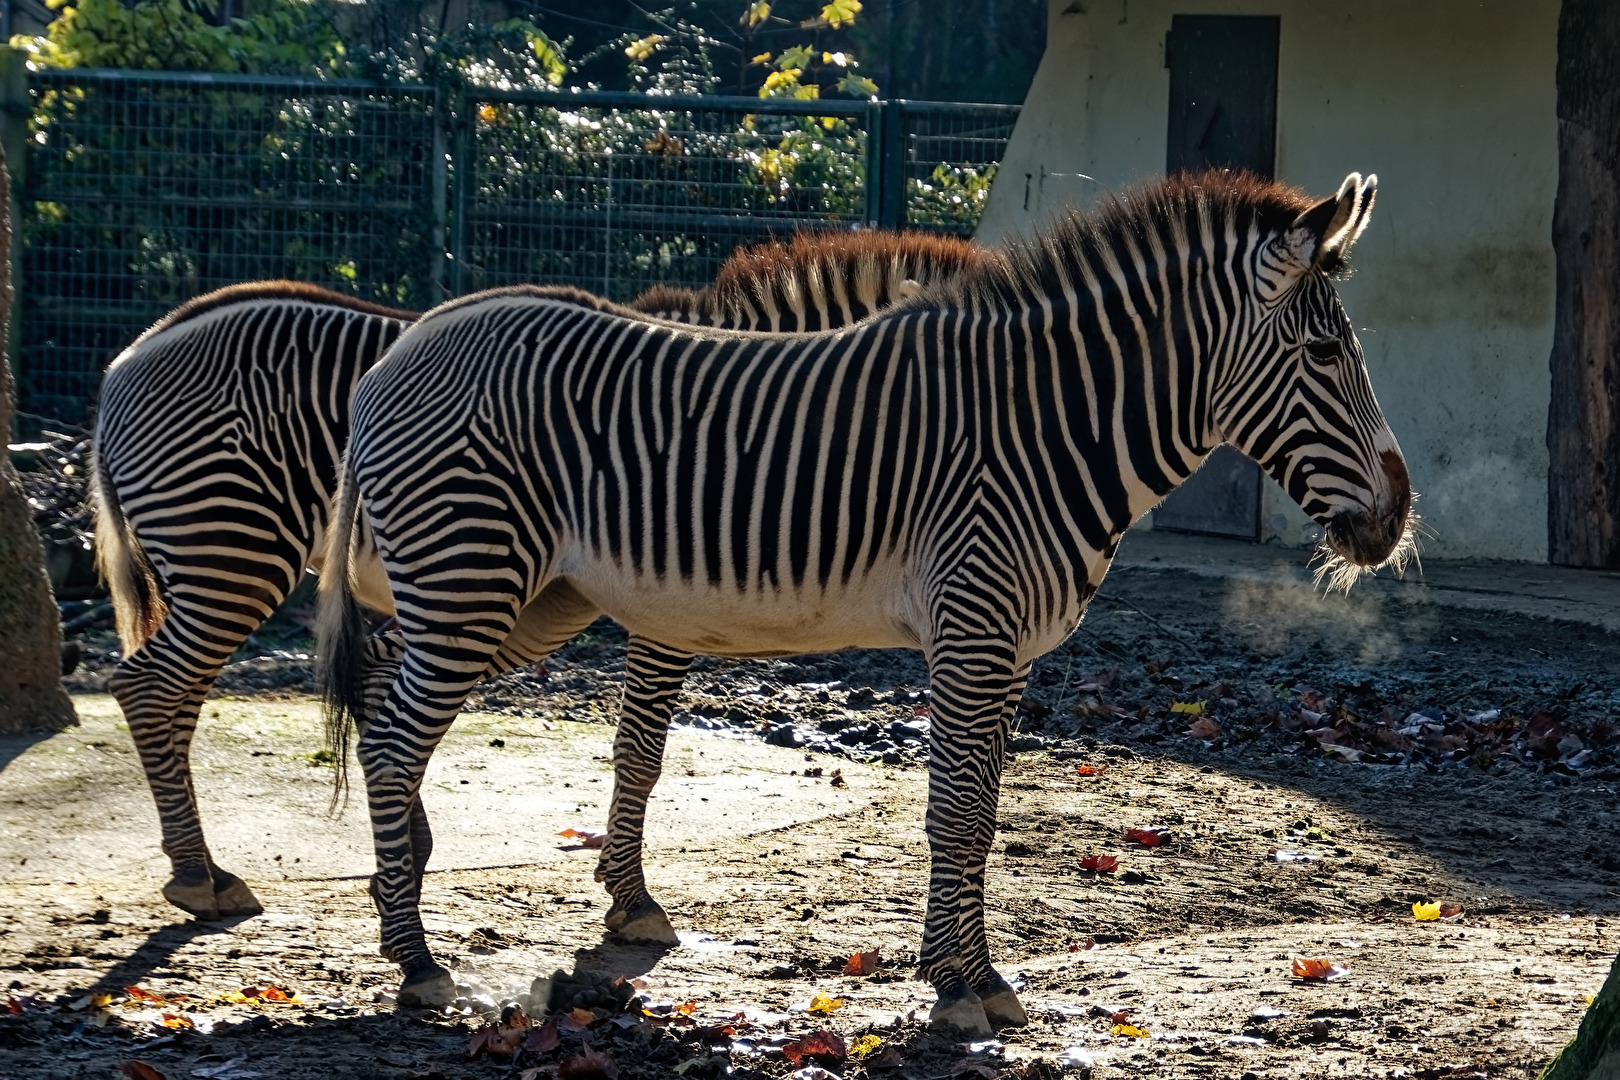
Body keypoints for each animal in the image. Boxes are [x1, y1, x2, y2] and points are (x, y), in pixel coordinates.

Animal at [90, 229, 980, 923]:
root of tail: (128, 355)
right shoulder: (665, 610)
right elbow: (640, 749)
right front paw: (630, 898)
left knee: (189, 695)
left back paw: (236, 863)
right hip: (234, 549)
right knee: (149, 687)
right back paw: (198, 876)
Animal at [316, 169, 1414, 1035]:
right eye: (1327, 357)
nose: (1397, 518)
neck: (1049, 426)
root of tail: (402, 347)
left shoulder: (1011, 650)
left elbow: (983, 813)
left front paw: (975, 975)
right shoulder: (972, 631)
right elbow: (958, 812)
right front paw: (960, 986)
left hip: (520, 598)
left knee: (382, 704)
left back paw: (400, 888)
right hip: (474, 581)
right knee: (391, 740)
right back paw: (417, 963)